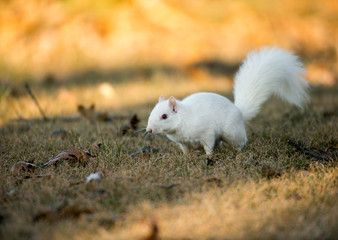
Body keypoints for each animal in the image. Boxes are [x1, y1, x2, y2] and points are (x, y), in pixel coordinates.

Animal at [145, 47, 308, 157]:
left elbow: (208, 145)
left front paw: (208, 156)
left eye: (164, 116)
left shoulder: (206, 131)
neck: (183, 121)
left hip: (232, 132)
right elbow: (185, 150)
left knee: (240, 142)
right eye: (151, 113)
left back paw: (238, 151)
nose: (149, 130)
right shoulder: (182, 142)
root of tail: (240, 112)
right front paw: (186, 158)